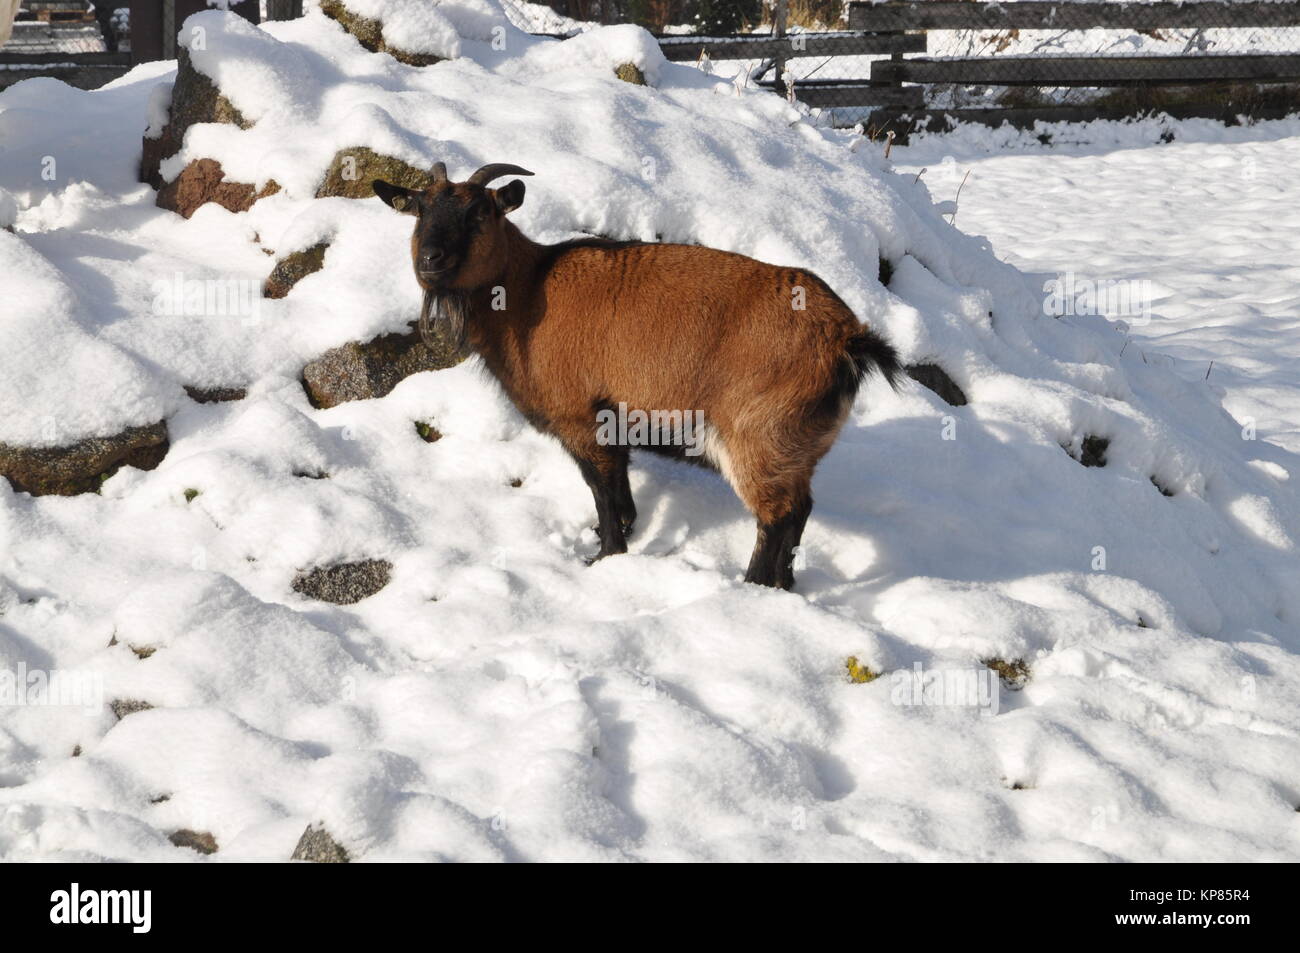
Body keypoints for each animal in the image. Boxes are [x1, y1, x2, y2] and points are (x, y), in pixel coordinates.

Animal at [377, 163, 899, 587]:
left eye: (480, 212)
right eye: (419, 209)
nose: (430, 260)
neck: (527, 289)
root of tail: (846, 338)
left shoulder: (583, 418)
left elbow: (603, 493)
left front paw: (605, 556)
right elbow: (620, 492)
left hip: (759, 438)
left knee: (778, 517)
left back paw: (752, 586)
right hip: (795, 450)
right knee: (800, 511)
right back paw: (785, 585)